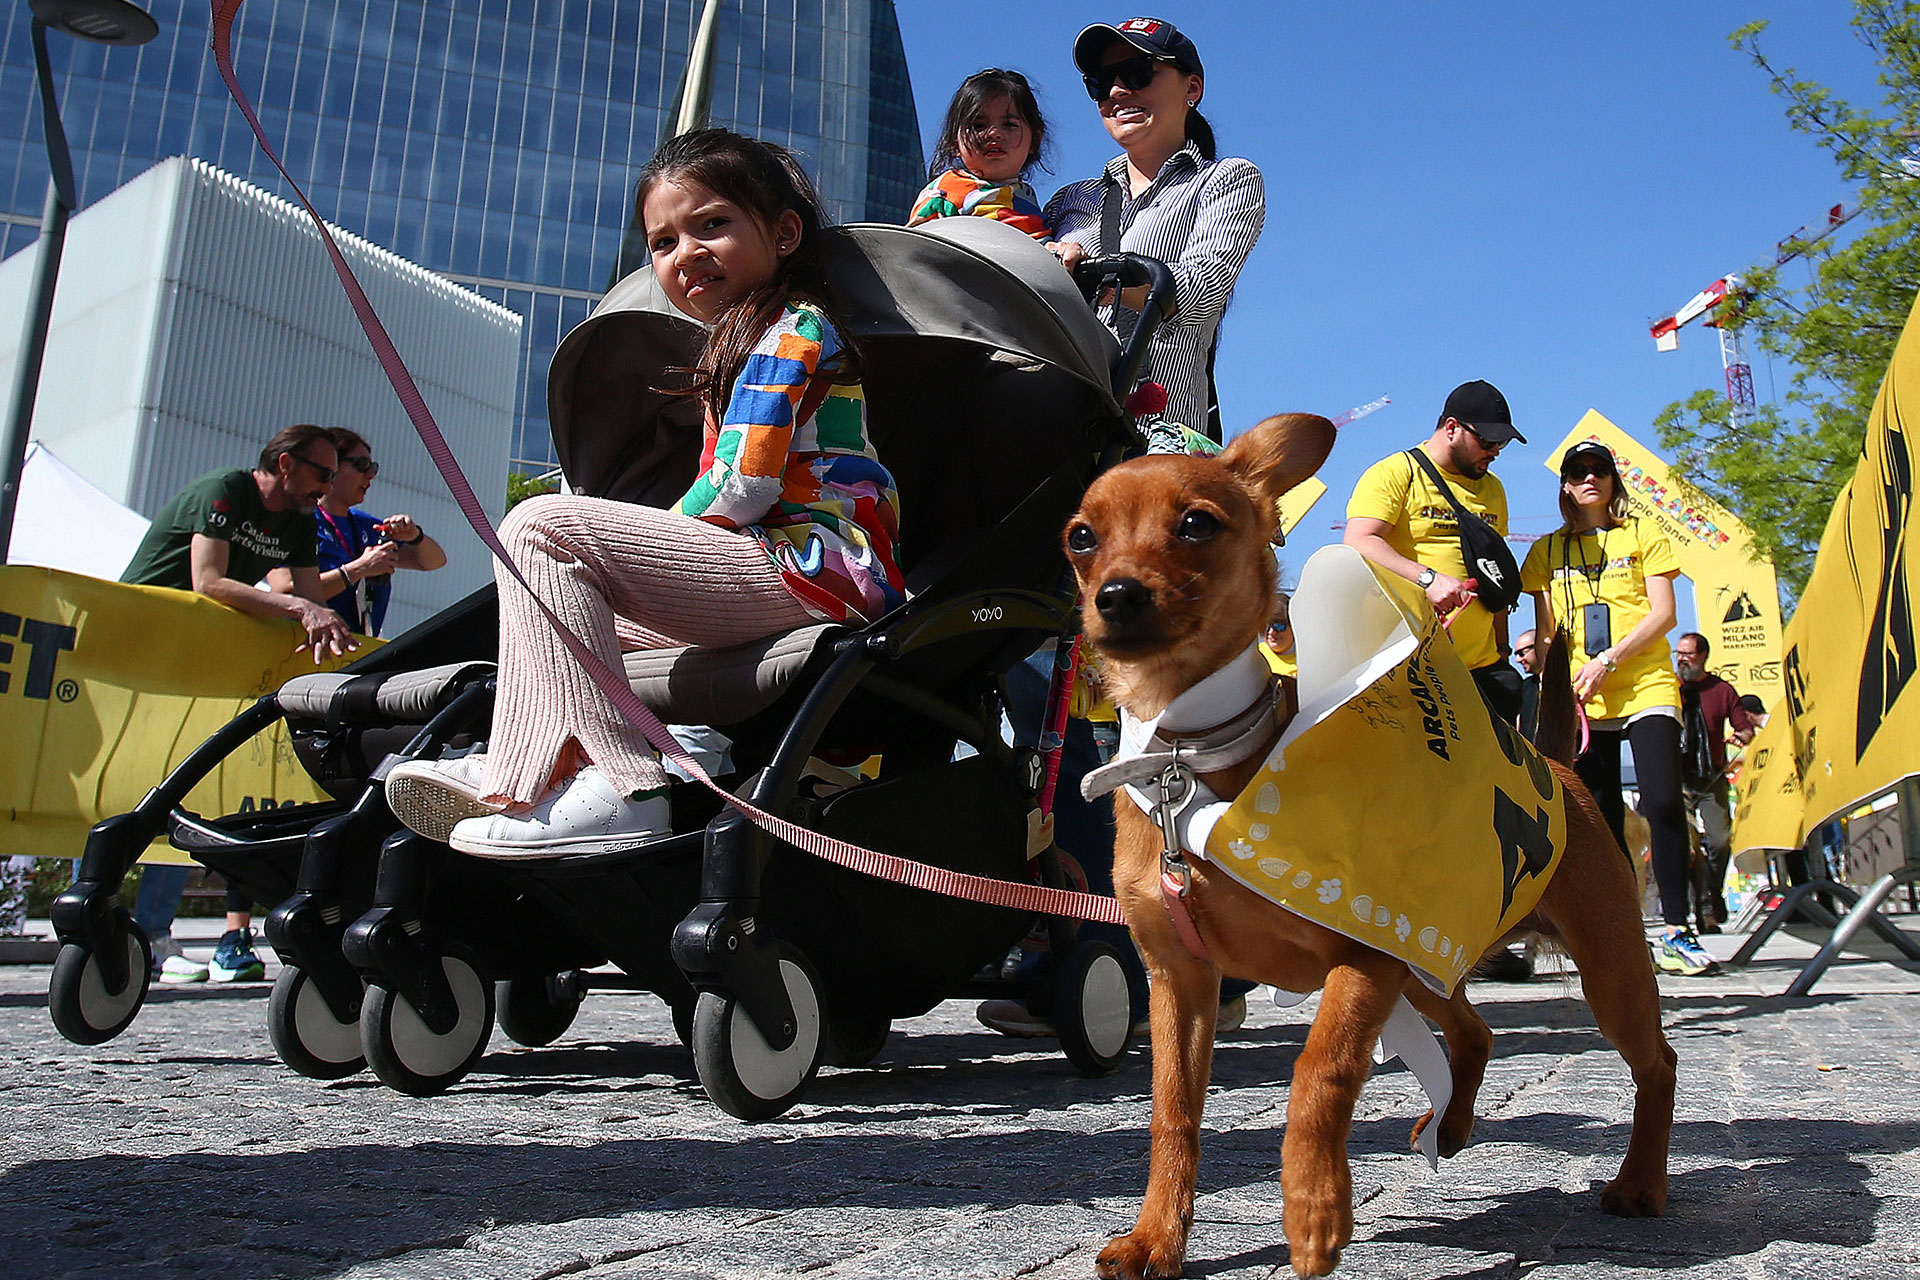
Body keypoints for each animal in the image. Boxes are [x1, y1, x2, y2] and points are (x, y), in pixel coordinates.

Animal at [1064, 414, 1675, 1279]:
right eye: (1081, 538)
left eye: (1197, 525)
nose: (1114, 595)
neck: (1186, 761)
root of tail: (1557, 764)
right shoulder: (1179, 983)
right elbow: (1172, 1117)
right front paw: (1157, 1236)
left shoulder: (1363, 956)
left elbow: (1320, 1071)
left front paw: (1314, 1207)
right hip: (1427, 958)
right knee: (1476, 1031)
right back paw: (1451, 1126)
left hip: (1601, 971)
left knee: (1657, 1064)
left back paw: (1640, 1183)